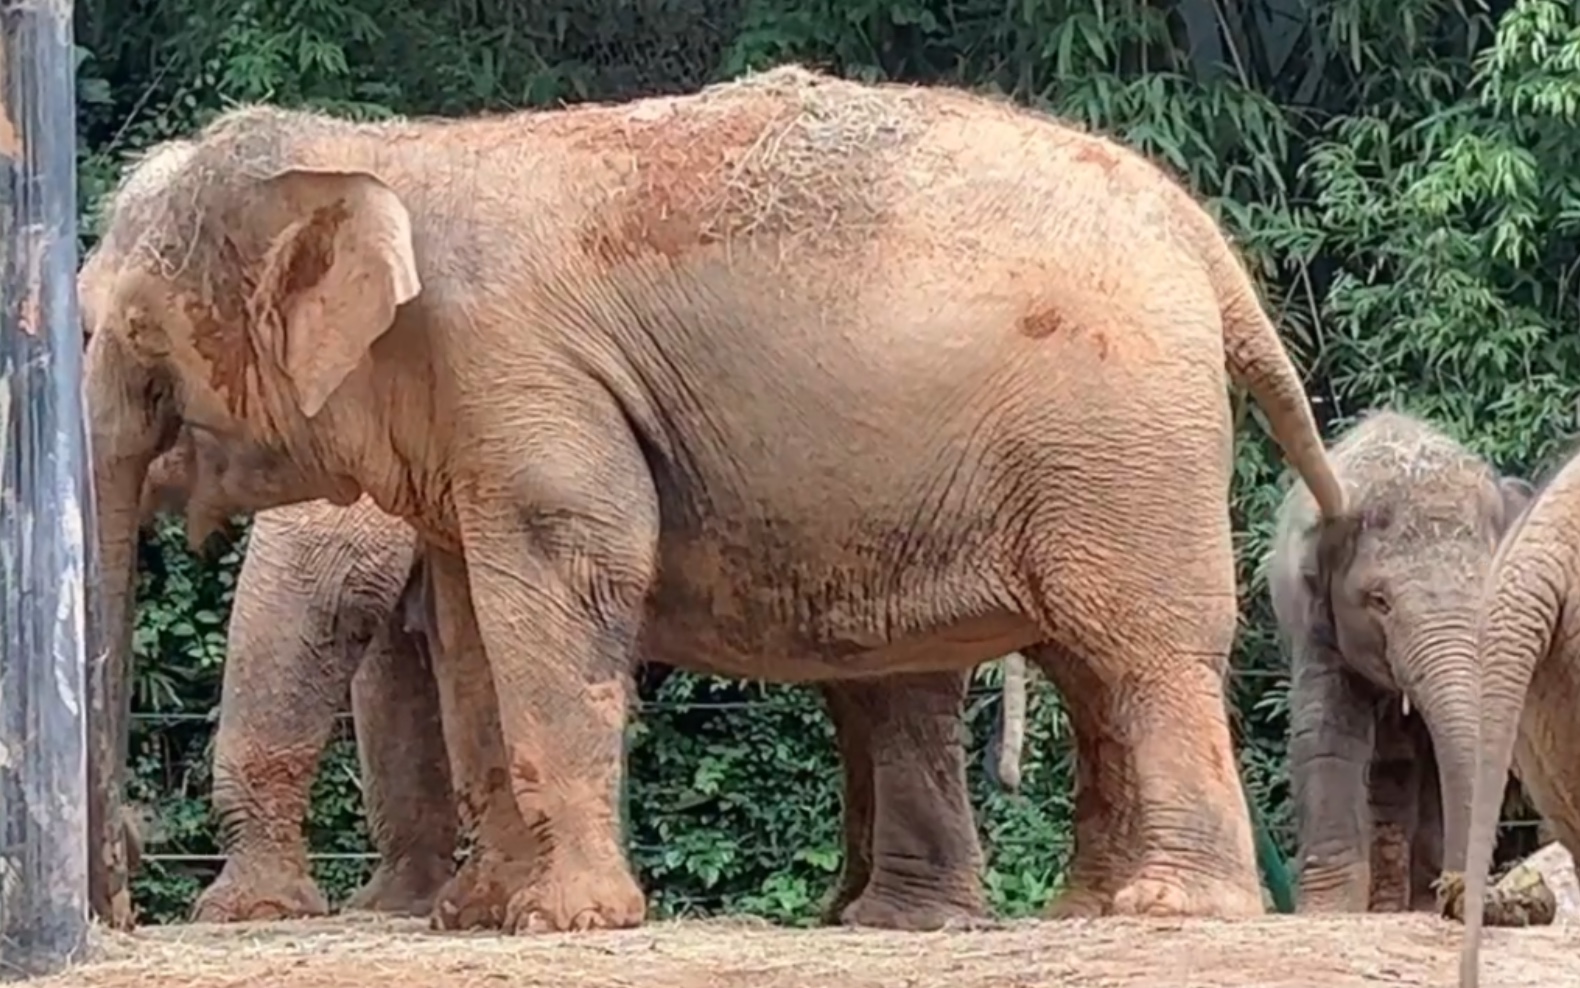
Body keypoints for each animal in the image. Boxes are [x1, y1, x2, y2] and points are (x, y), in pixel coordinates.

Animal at [80, 65, 1339, 929]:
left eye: (135, 330)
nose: (122, 902)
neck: (389, 153)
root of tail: (1199, 236)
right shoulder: (475, 417)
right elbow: (473, 630)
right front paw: (484, 917)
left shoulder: (522, 373)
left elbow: (564, 578)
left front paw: (567, 921)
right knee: (1086, 669)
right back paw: (1075, 908)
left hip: (1112, 437)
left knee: (1139, 649)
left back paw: (1170, 910)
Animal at [1264, 411, 1535, 910]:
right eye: (1379, 601)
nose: (1460, 891)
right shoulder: (1315, 623)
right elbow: (1327, 735)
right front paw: (1330, 911)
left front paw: (1432, 902)